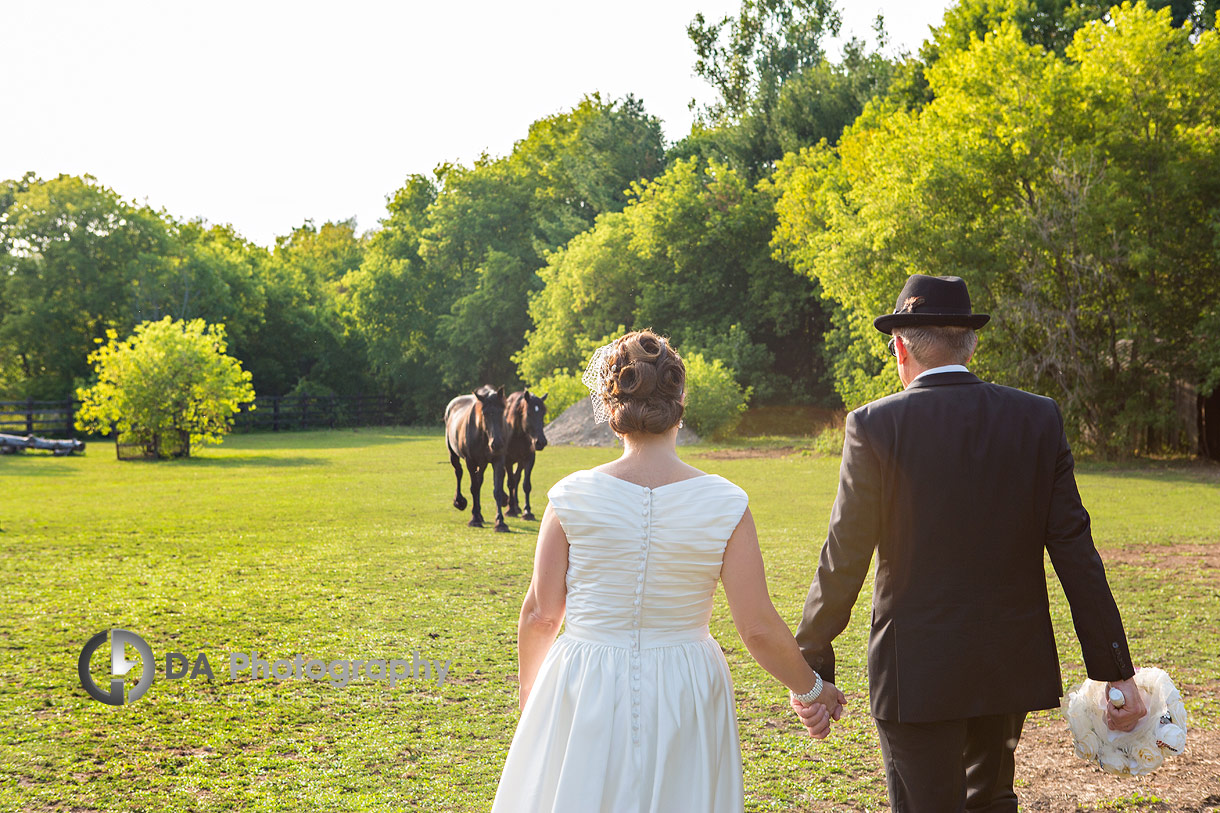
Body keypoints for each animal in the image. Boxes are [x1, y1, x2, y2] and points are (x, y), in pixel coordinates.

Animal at [446, 385, 507, 532]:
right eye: (485, 414)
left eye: (502, 411)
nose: (497, 443)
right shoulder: (471, 461)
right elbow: (473, 488)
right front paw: (474, 520)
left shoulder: (498, 460)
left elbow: (497, 491)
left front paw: (500, 522)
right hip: (453, 455)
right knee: (459, 472)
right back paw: (460, 502)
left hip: (483, 463)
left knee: (479, 481)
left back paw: (479, 514)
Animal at [500, 388, 549, 520]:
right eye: (529, 413)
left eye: (543, 414)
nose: (541, 442)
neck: (518, 434)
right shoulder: (507, 461)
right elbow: (510, 483)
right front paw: (510, 510)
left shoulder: (529, 459)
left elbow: (526, 485)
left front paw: (527, 511)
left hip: (520, 462)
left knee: (517, 478)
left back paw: (517, 506)